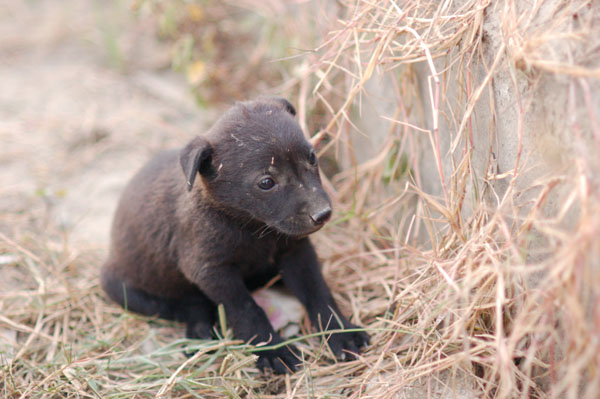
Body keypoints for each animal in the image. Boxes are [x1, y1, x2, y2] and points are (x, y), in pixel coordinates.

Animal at [101, 97, 368, 376]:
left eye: (312, 157)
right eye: (266, 182)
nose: (323, 214)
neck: (251, 227)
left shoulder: (296, 250)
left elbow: (317, 291)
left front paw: (342, 333)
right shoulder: (211, 270)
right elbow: (246, 310)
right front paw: (273, 350)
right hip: (125, 288)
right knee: (188, 305)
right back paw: (200, 333)